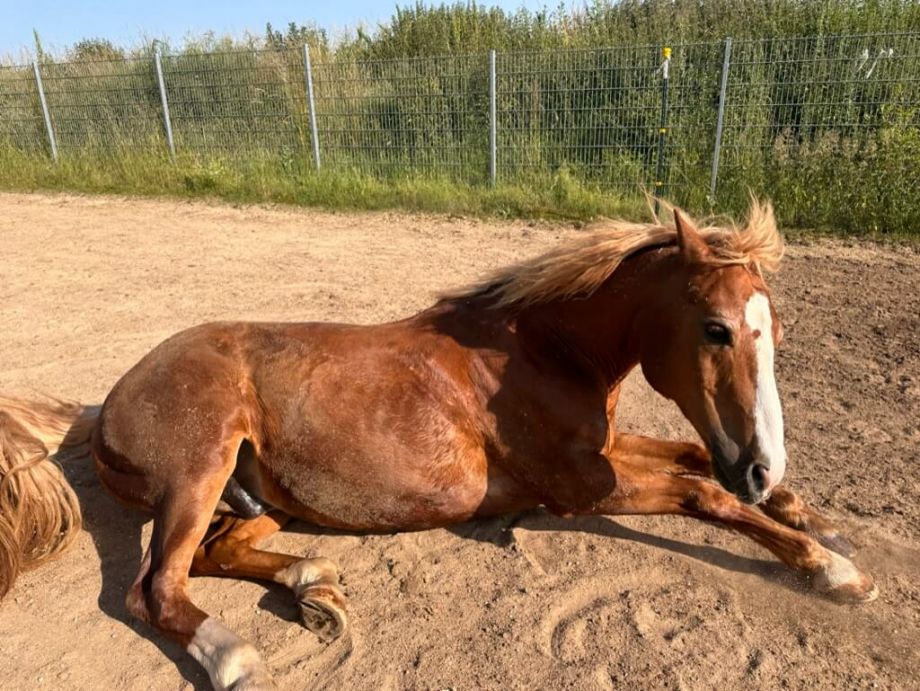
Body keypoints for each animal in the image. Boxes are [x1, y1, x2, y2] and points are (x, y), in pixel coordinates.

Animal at [0, 201, 877, 691]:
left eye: (775, 330)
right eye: (717, 329)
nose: (761, 464)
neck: (541, 347)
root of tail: (106, 400)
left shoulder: (607, 450)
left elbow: (695, 461)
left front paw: (816, 519)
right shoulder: (580, 484)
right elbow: (704, 492)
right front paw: (833, 570)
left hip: (252, 495)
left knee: (214, 553)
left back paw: (314, 585)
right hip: (199, 469)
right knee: (155, 587)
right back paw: (237, 658)